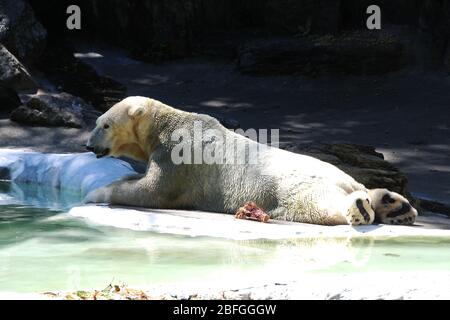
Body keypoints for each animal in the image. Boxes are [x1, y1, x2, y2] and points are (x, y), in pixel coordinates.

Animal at [85, 96, 418, 226]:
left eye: (104, 124)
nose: (88, 145)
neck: (166, 124)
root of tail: (345, 181)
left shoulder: (178, 157)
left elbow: (153, 191)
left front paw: (95, 193)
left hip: (291, 188)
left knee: (318, 204)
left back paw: (361, 208)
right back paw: (394, 205)